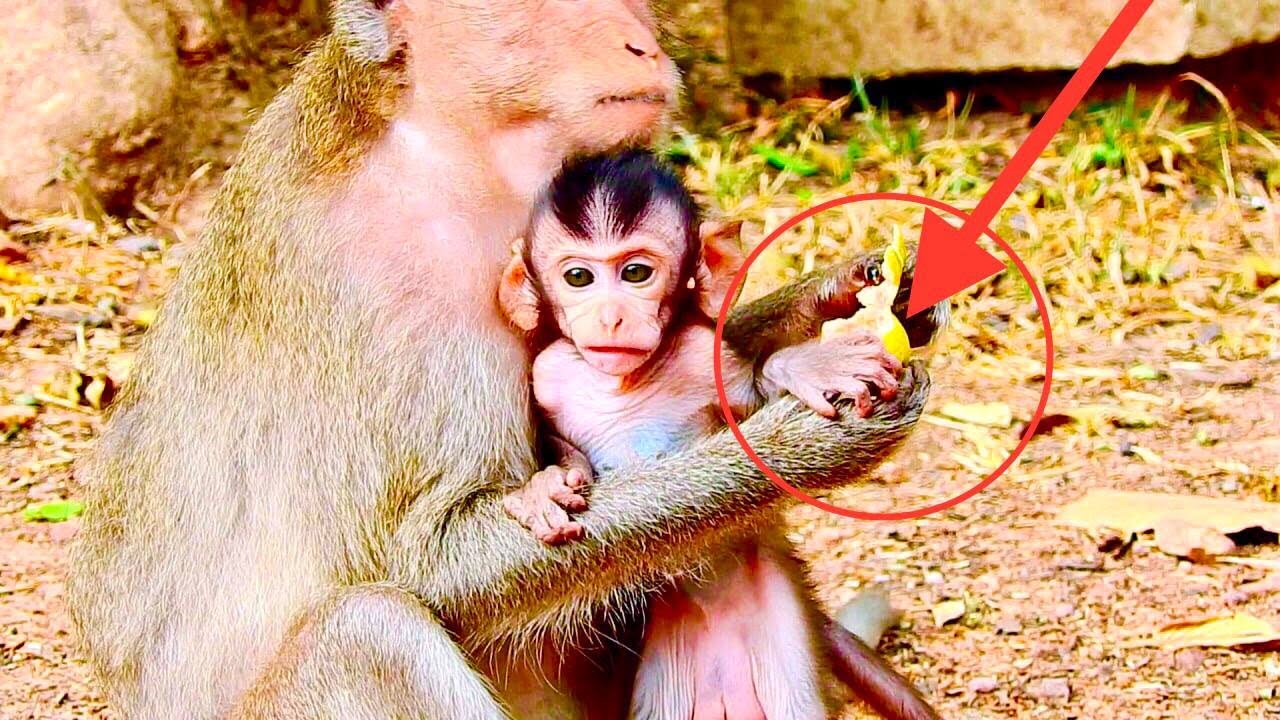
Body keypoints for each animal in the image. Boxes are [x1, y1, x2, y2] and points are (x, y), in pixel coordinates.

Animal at [497, 150, 905, 720]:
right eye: (578, 277)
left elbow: (751, 402)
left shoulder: (703, 354)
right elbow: (560, 445)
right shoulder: (549, 372)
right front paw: (544, 487)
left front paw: (809, 363)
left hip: (778, 627)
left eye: (636, 273)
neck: (625, 382)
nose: (611, 317)